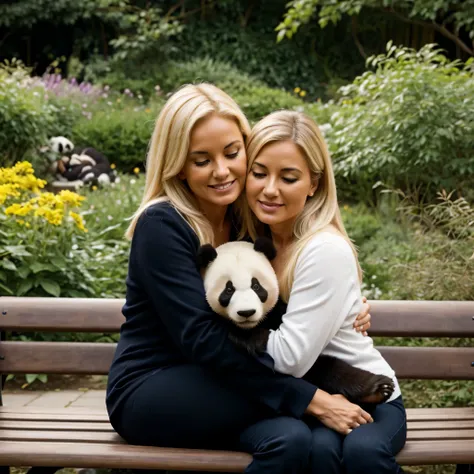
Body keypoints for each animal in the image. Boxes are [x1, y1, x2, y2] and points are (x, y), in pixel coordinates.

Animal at [198, 237, 394, 404]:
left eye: (256, 286)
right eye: (228, 289)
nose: (246, 312)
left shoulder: (278, 313)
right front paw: (252, 339)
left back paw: (379, 389)